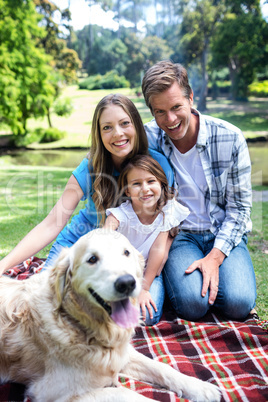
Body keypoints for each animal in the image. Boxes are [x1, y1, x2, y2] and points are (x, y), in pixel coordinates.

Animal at [0, 229, 221, 402]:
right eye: (92, 259)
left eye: (126, 252)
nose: (127, 283)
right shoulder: (54, 393)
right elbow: (127, 394)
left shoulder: (123, 354)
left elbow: (163, 368)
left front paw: (201, 387)